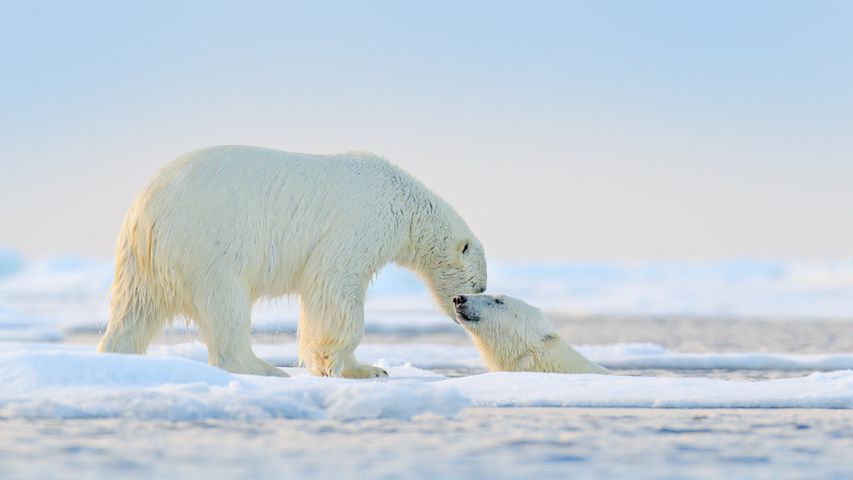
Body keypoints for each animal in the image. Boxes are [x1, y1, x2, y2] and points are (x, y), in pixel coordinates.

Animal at [97, 146, 486, 378]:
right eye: (478, 286)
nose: (461, 309)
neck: (404, 202)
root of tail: (144, 210)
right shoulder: (360, 223)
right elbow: (335, 284)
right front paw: (360, 368)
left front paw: (368, 368)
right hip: (206, 242)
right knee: (226, 304)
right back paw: (263, 368)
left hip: (143, 261)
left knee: (134, 311)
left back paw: (116, 356)